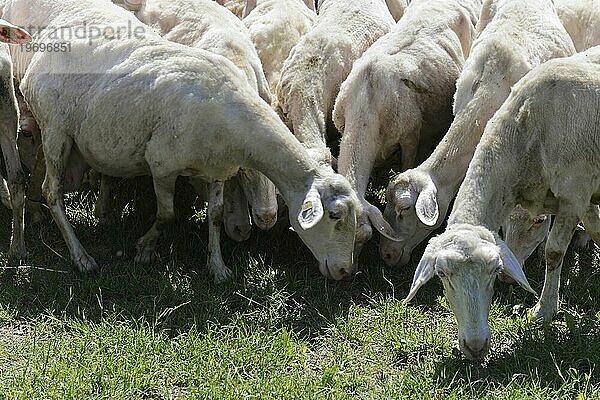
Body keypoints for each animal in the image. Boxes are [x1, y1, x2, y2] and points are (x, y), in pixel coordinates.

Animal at [5, 0, 360, 282]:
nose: (344, 271)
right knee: (52, 192)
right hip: (55, 130)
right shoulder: (162, 165)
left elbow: (215, 215)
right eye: (335, 216)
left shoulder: (218, 171)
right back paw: (81, 257)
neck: (237, 126)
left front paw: (218, 268)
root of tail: (50, 41)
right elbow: (167, 214)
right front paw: (145, 249)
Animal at [404, 46, 600, 360]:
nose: (475, 347)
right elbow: (597, 230)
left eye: (495, 271)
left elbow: (554, 252)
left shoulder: (574, 194)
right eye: (442, 275)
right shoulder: (586, 198)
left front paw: (543, 310)